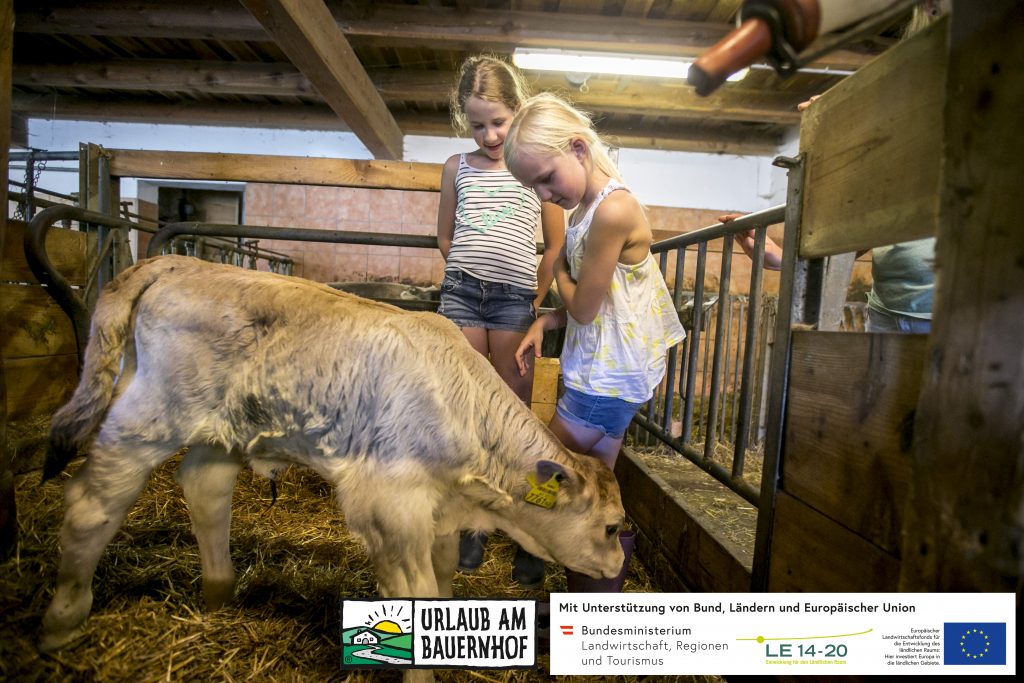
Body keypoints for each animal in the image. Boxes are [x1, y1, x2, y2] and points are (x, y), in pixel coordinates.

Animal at [39, 255, 622, 655]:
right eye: (614, 526)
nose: (617, 565)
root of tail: (176, 262)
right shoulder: (390, 504)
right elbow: (415, 594)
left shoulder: (437, 510)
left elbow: (443, 581)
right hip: (149, 416)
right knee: (92, 505)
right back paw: (63, 619)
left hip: (220, 430)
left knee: (206, 492)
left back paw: (220, 594)